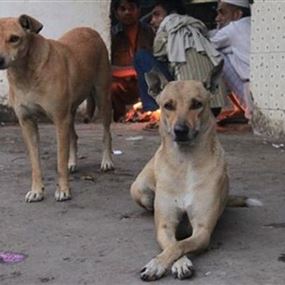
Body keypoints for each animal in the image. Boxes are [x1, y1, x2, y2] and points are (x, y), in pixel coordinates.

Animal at [0, 15, 113, 202]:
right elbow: (35, 163)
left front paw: (63, 190)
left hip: (102, 98)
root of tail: (91, 30)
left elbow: (60, 161)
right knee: (74, 136)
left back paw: (107, 161)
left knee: (106, 133)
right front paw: (37, 190)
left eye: (14, 38)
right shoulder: (27, 122)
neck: (25, 74)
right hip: (71, 111)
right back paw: (72, 163)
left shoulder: (60, 120)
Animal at [130, 62, 258, 280]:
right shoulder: (164, 227)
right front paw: (167, 263)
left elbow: (180, 245)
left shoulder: (203, 230)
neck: (186, 163)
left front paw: (162, 264)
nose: (180, 130)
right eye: (168, 105)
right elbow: (172, 244)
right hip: (139, 189)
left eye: (197, 104)